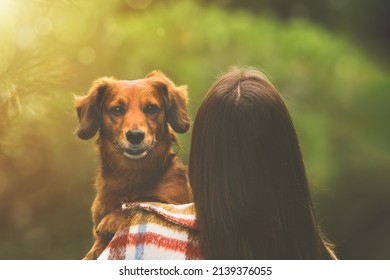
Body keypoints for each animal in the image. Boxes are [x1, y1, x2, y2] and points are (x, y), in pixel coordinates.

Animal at [74, 71, 192, 260]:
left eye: (151, 108)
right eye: (117, 109)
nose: (135, 136)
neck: (132, 175)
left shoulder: (175, 201)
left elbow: (145, 200)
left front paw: (113, 218)